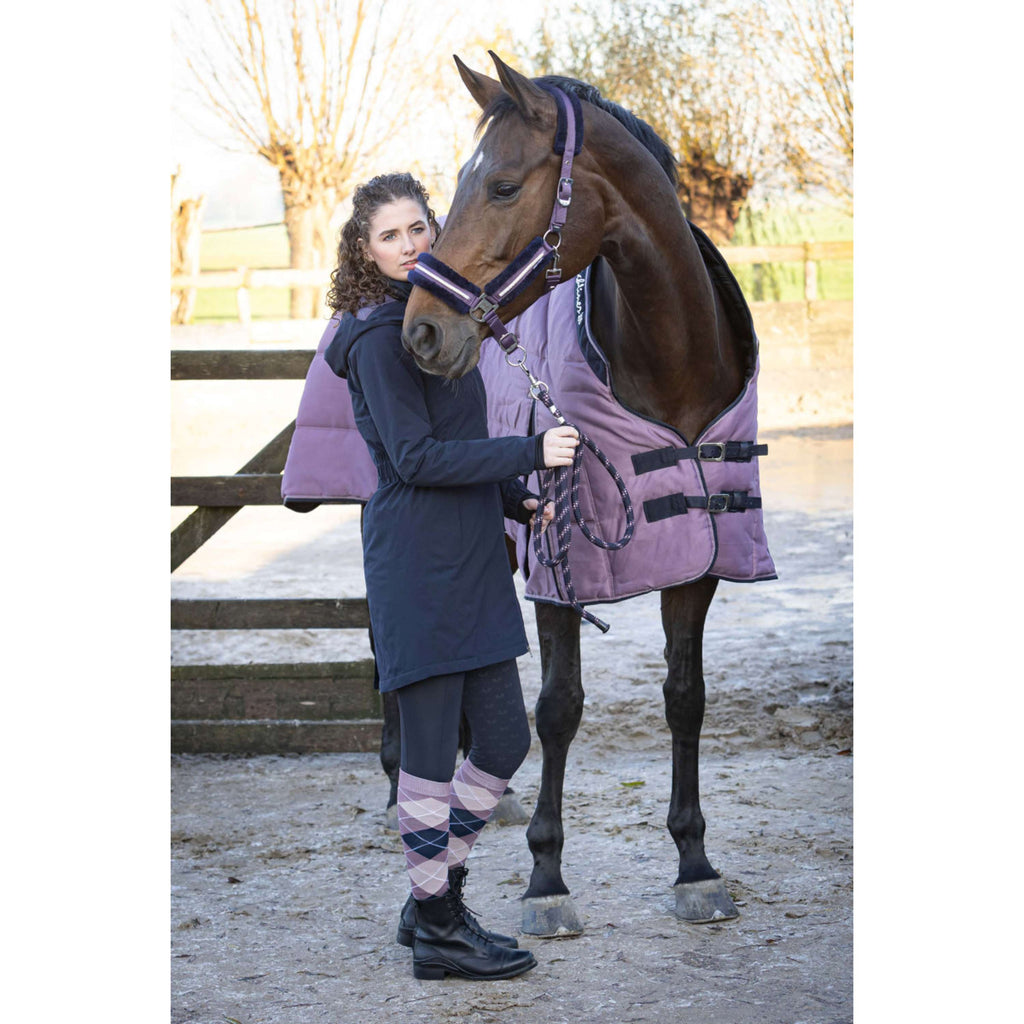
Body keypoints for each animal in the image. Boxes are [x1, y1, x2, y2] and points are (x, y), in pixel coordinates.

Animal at [403, 52, 766, 935]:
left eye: (502, 186)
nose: (422, 331)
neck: (670, 366)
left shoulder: (699, 561)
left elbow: (685, 697)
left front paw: (695, 864)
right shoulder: (557, 572)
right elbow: (559, 706)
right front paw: (546, 879)